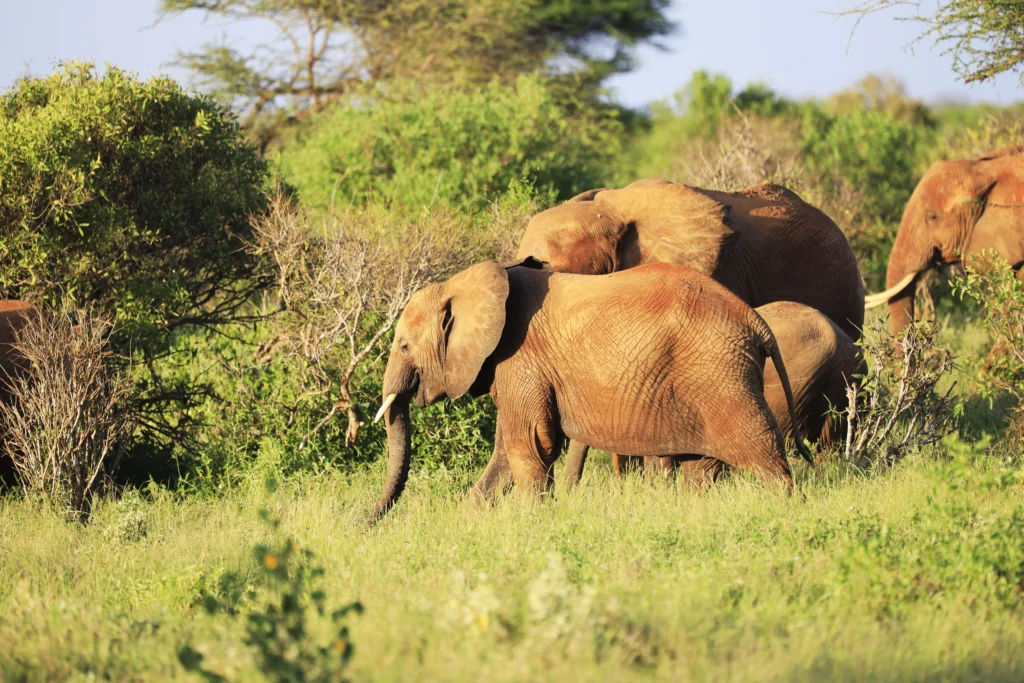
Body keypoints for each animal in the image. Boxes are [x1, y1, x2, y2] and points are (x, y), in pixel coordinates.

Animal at [368, 259, 811, 523]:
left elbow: (528, 444)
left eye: (403, 346)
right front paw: (472, 523)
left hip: (722, 376)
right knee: (700, 468)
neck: (465, 283)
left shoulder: (520, 360)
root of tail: (756, 322)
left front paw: (536, 524)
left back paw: (786, 512)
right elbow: (507, 454)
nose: (364, 524)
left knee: (763, 453)